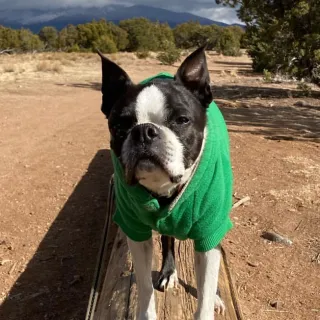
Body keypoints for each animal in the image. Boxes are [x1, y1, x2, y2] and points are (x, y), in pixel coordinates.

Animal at [97, 45, 232, 320]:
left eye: (182, 120)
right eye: (119, 125)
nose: (144, 131)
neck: (164, 189)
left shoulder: (210, 232)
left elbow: (205, 290)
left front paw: (209, 298)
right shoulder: (136, 232)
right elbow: (144, 287)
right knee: (168, 240)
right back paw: (169, 273)